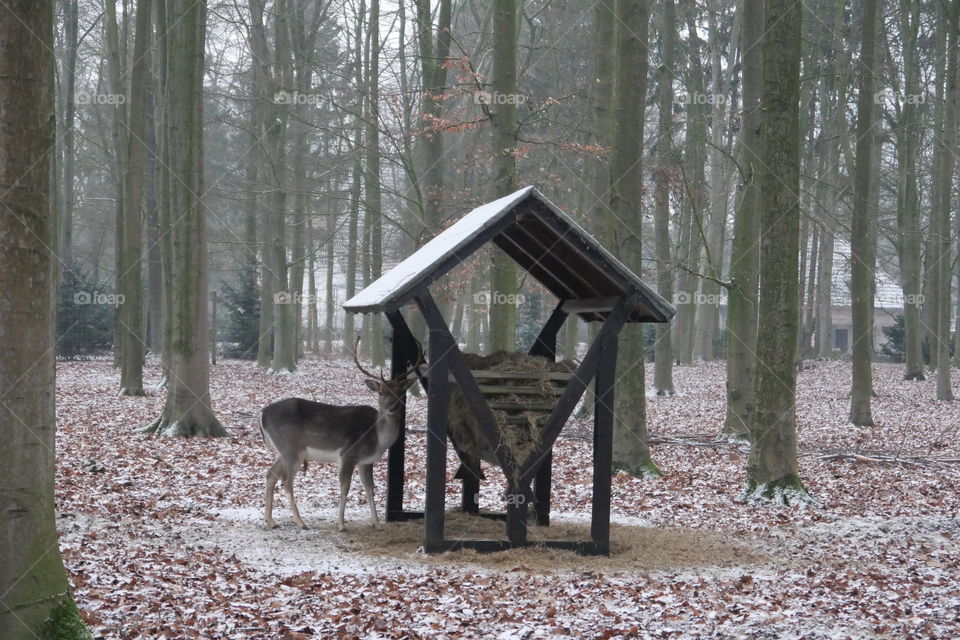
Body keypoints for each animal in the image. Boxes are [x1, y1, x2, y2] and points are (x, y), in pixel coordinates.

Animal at [259, 338, 424, 531]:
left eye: (400, 392)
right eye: (381, 392)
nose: (391, 407)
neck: (378, 439)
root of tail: (263, 414)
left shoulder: (366, 461)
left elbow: (370, 488)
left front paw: (376, 523)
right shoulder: (348, 454)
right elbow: (345, 487)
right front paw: (341, 524)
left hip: (286, 451)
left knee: (271, 474)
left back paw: (271, 521)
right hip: (290, 449)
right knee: (286, 480)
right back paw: (301, 522)